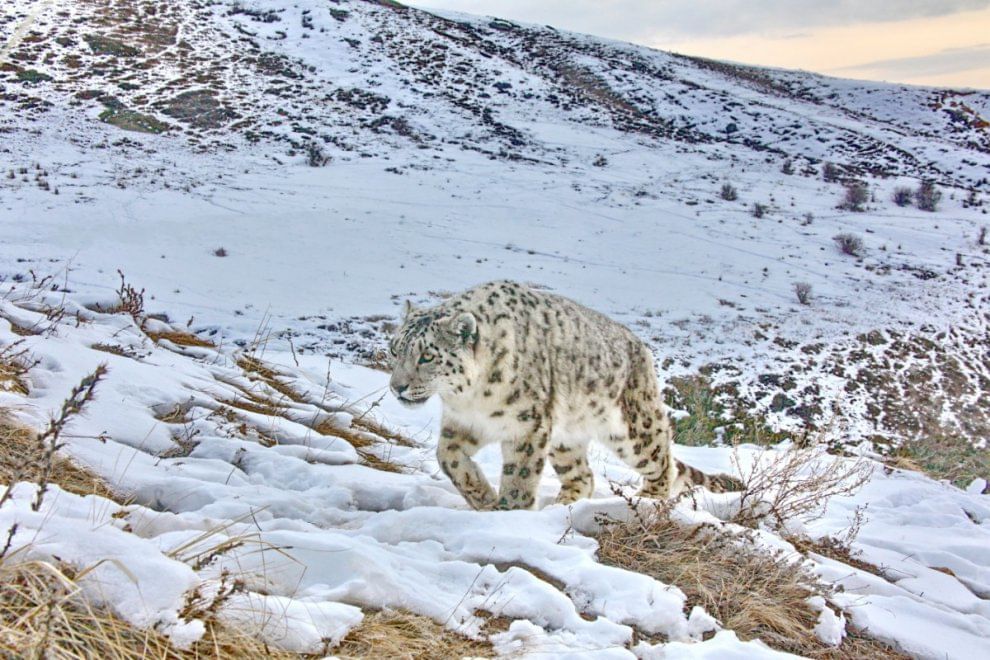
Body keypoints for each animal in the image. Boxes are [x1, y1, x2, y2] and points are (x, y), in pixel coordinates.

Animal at [388, 278, 744, 510]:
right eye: (394, 349)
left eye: (427, 356)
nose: (397, 386)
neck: (472, 400)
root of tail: (640, 347)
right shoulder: (462, 423)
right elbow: (447, 458)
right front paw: (483, 496)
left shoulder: (528, 425)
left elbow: (520, 476)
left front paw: (507, 514)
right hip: (565, 438)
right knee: (583, 476)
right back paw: (561, 507)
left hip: (633, 429)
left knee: (662, 461)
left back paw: (645, 505)